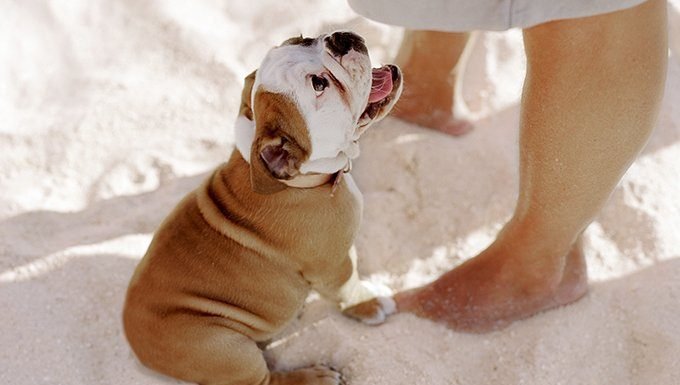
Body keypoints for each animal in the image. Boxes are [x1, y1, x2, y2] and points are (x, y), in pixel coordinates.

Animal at [123, 32, 402, 384]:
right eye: (319, 84)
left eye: (303, 39)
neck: (304, 178)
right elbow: (348, 289)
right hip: (226, 349)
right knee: (264, 379)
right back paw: (314, 376)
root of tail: (138, 350)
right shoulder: (334, 265)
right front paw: (370, 303)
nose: (340, 38)